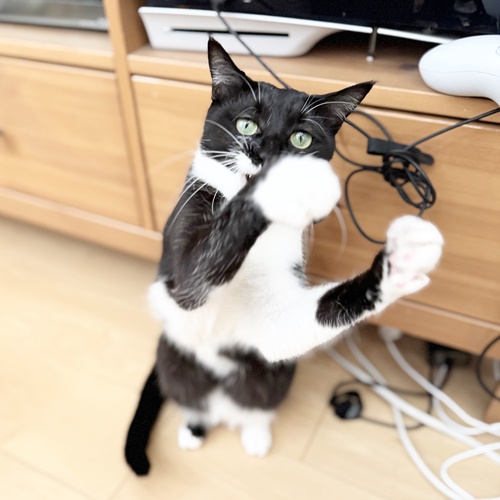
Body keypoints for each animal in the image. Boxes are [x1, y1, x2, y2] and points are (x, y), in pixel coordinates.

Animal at [124, 38, 443, 476]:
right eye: (247, 125)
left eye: (300, 139)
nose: (266, 154)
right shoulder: (182, 249)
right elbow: (192, 279)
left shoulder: (274, 317)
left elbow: (295, 322)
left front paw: (402, 261)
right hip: (173, 357)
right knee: (191, 396)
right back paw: (194, 427)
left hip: (271, 375)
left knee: (259, 399)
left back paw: (255, 433)